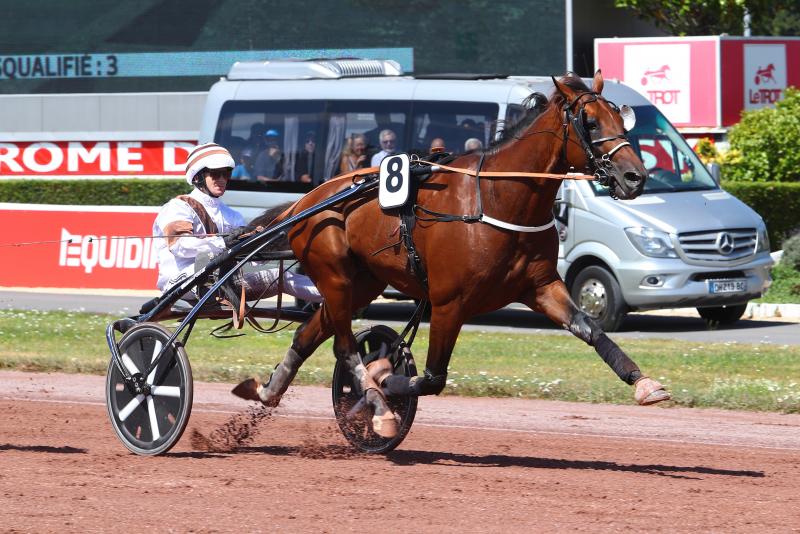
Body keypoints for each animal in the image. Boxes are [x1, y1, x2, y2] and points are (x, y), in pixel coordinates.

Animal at [233, 71, 671, 438]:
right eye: (590, 122)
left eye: (620, 118)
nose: (635, 177)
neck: (497, 199)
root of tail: (306, 201)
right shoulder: (448, 302)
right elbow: (431, 378)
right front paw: (386, 378)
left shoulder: (542, 286)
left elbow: (591, 329)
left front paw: (645, 384)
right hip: (335, 275)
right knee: (344, 347)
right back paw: (378, 406)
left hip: (361, 283)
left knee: (309, 333)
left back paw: (268, 390)